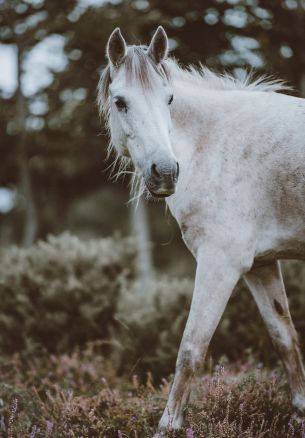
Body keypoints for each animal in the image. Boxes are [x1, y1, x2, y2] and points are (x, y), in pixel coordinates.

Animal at [98, 26, 305, 434]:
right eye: (121, 102)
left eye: (169, 98)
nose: (165, 171)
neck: (212, 143)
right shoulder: (260, 265)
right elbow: (284, 338)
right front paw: (301, 414)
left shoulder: (220, 263)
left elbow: (191, 348)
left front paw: (167, 427)